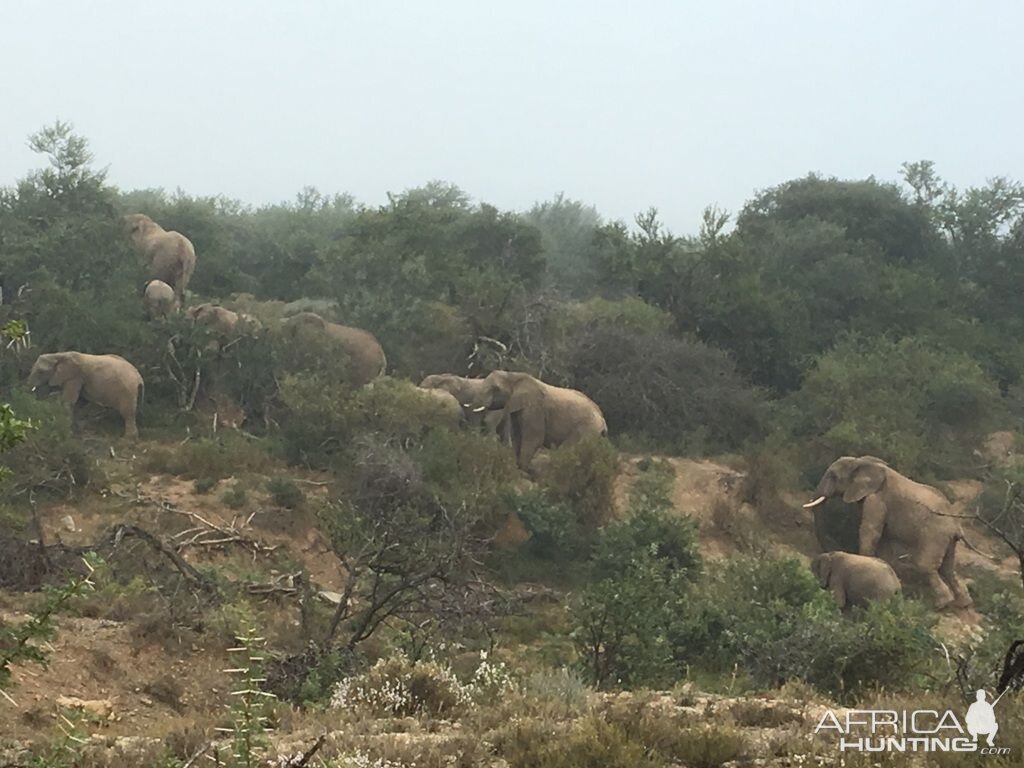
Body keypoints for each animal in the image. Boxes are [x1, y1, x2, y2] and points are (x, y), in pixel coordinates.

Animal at [464, 370, 606, 473]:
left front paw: (523, 470)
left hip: (587, 427)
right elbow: (517, 437)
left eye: (495, 389)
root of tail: (602, 419)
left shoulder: (534, 407)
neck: (514, 375)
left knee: (569, 450)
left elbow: (533, 438)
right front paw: (517, 467)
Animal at [802, 456, 970, 614]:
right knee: (948, 568)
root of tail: (956, 525)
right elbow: (882, 537)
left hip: (935, 535)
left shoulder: (877, 499)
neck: (862, 462)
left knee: (925, 565)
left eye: (833, 476)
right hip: (947, 539)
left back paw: (941, 605)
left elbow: (870, 530)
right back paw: (963, 604)